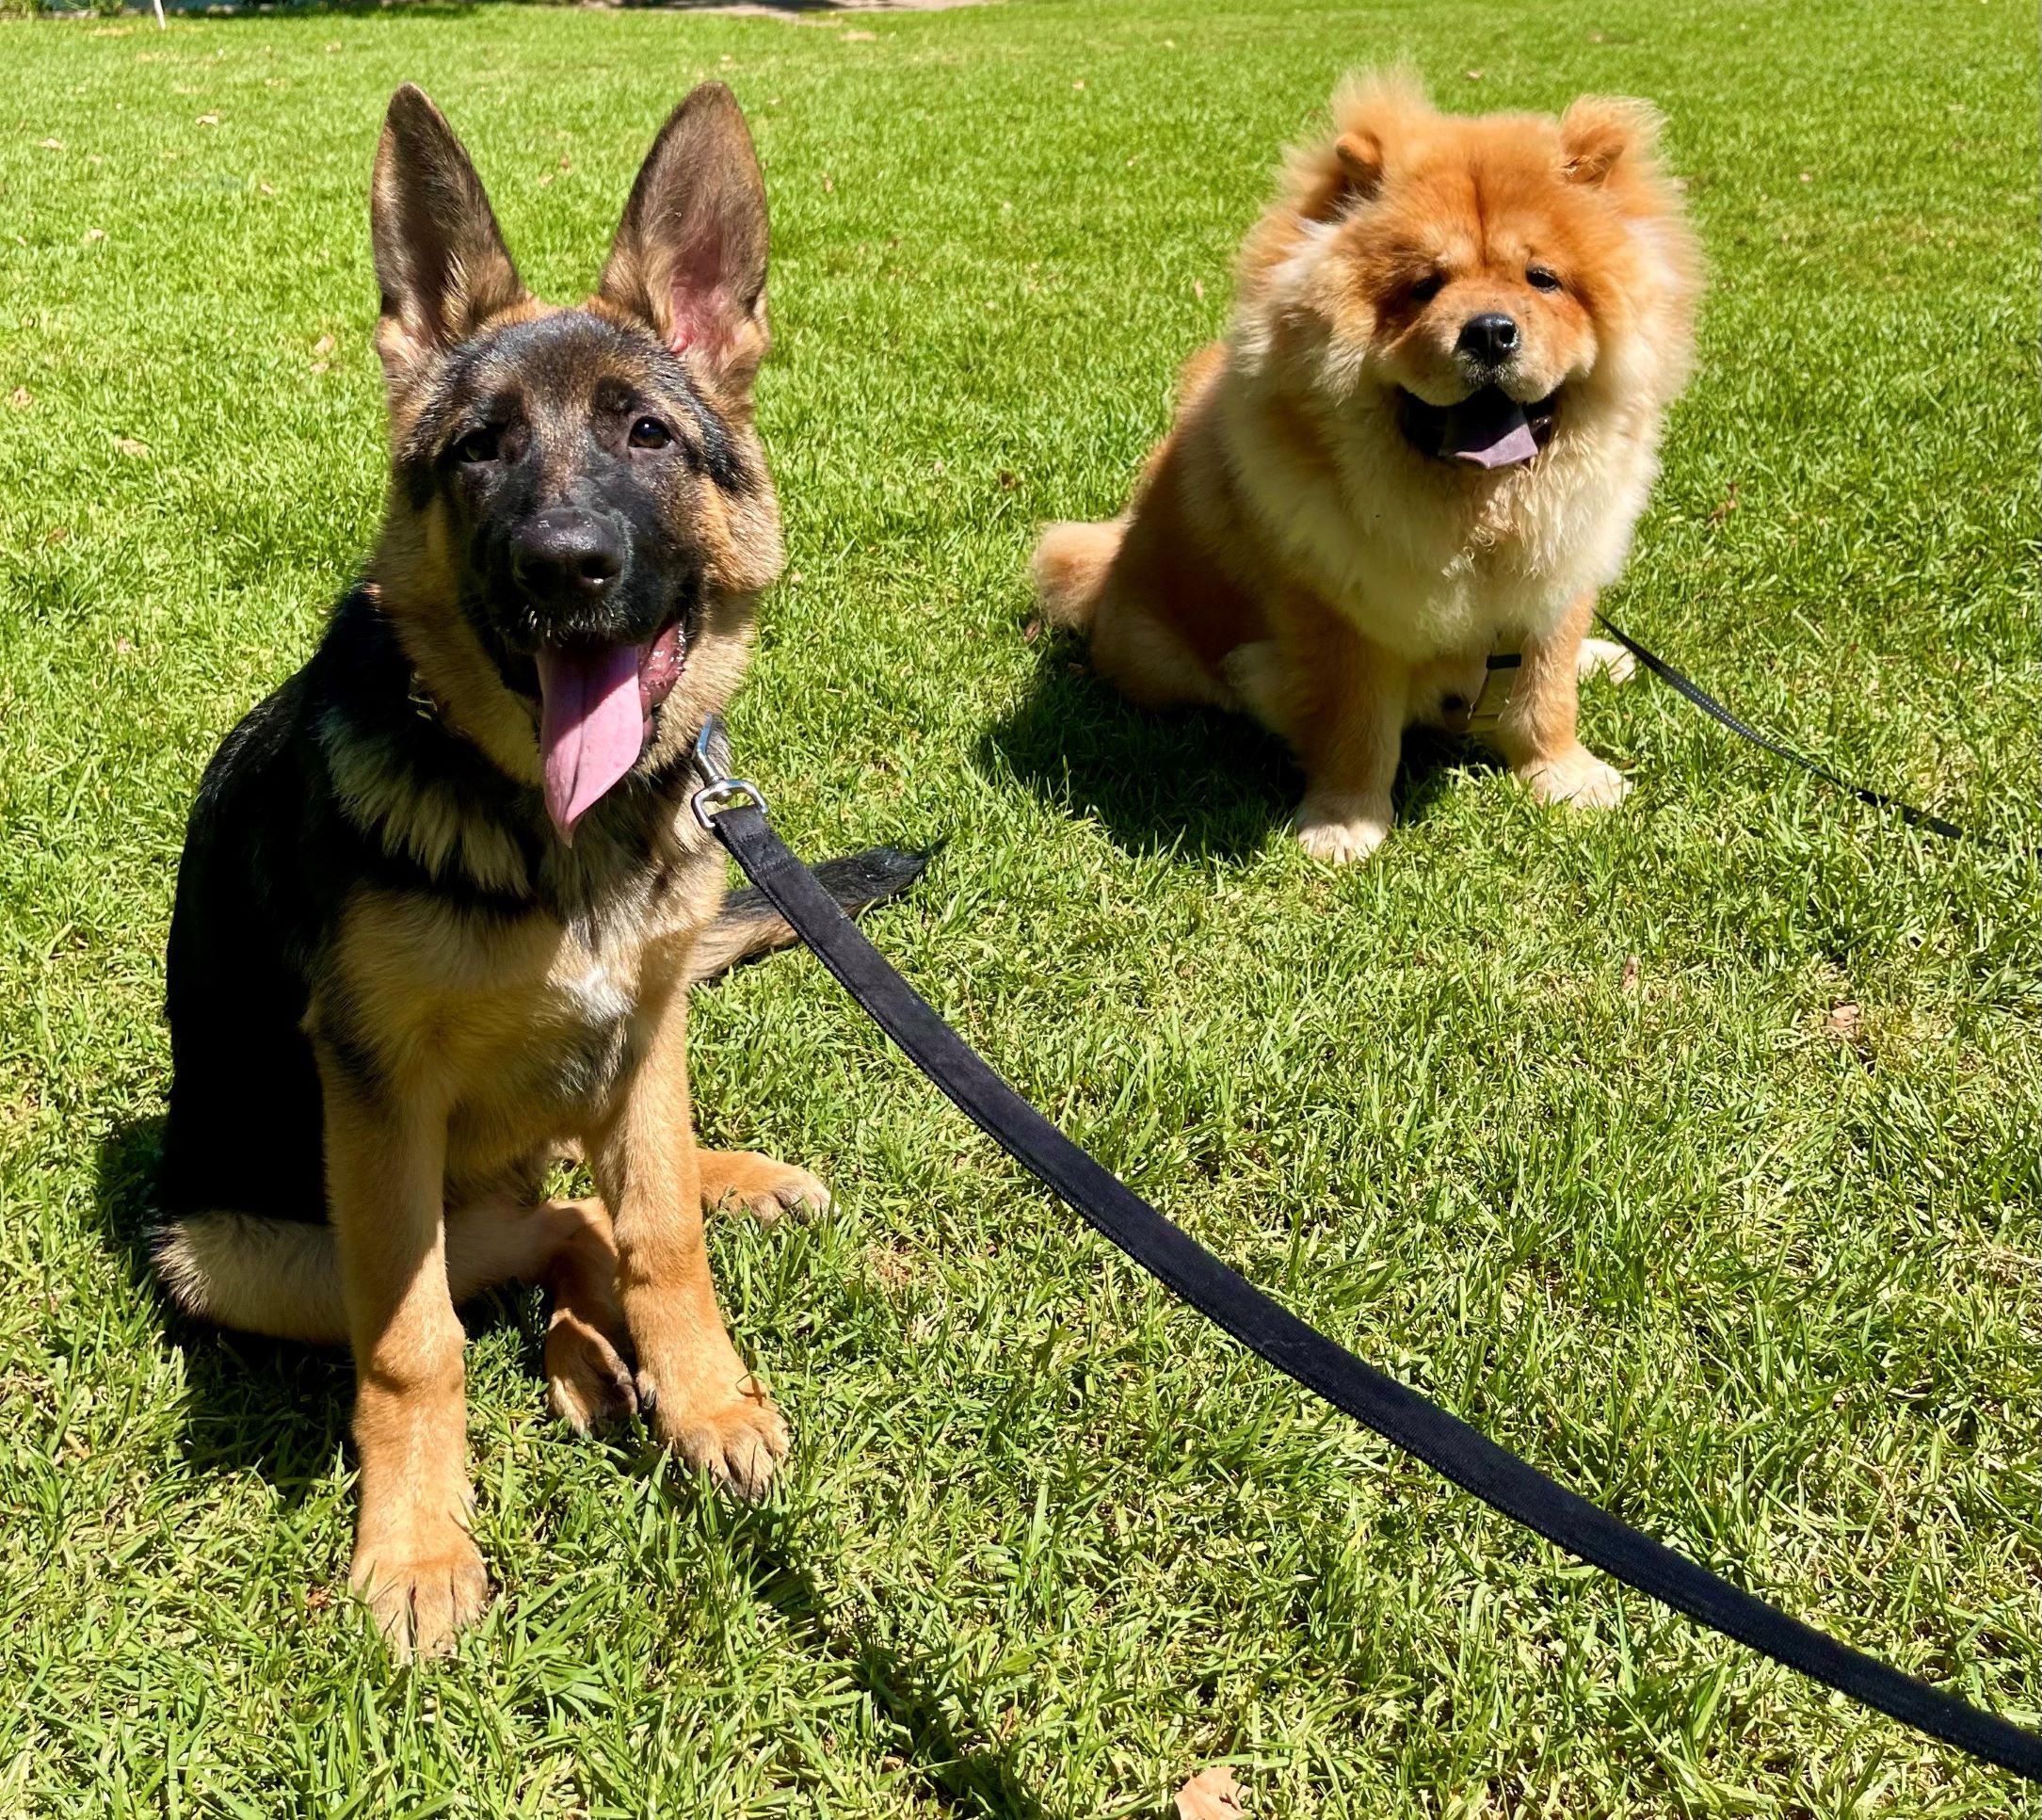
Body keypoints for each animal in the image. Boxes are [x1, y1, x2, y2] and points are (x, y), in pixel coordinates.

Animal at [151, 85, 926, 1658]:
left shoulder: (646, 1022)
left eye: (646, 432)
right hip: (234, 1247)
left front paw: (707, 1399)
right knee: (532, 1231)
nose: (567, 566)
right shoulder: (378, 1106)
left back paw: (704, 1226)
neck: (553, 829)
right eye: (482, 451)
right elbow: (416, 1346)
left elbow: (662, 1232)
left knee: (593, 1199)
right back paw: (583, 1354)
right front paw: (415, 1548)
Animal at [1029, 76, 1698, 862]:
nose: (1490, 331)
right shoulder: (1338, 612)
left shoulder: (1557, 575)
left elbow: (1544, 696)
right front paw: (1344, 823)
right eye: (1423, 286)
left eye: (1542, 280)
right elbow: (1354, 726)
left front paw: (1565, 778)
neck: (1475, 519)